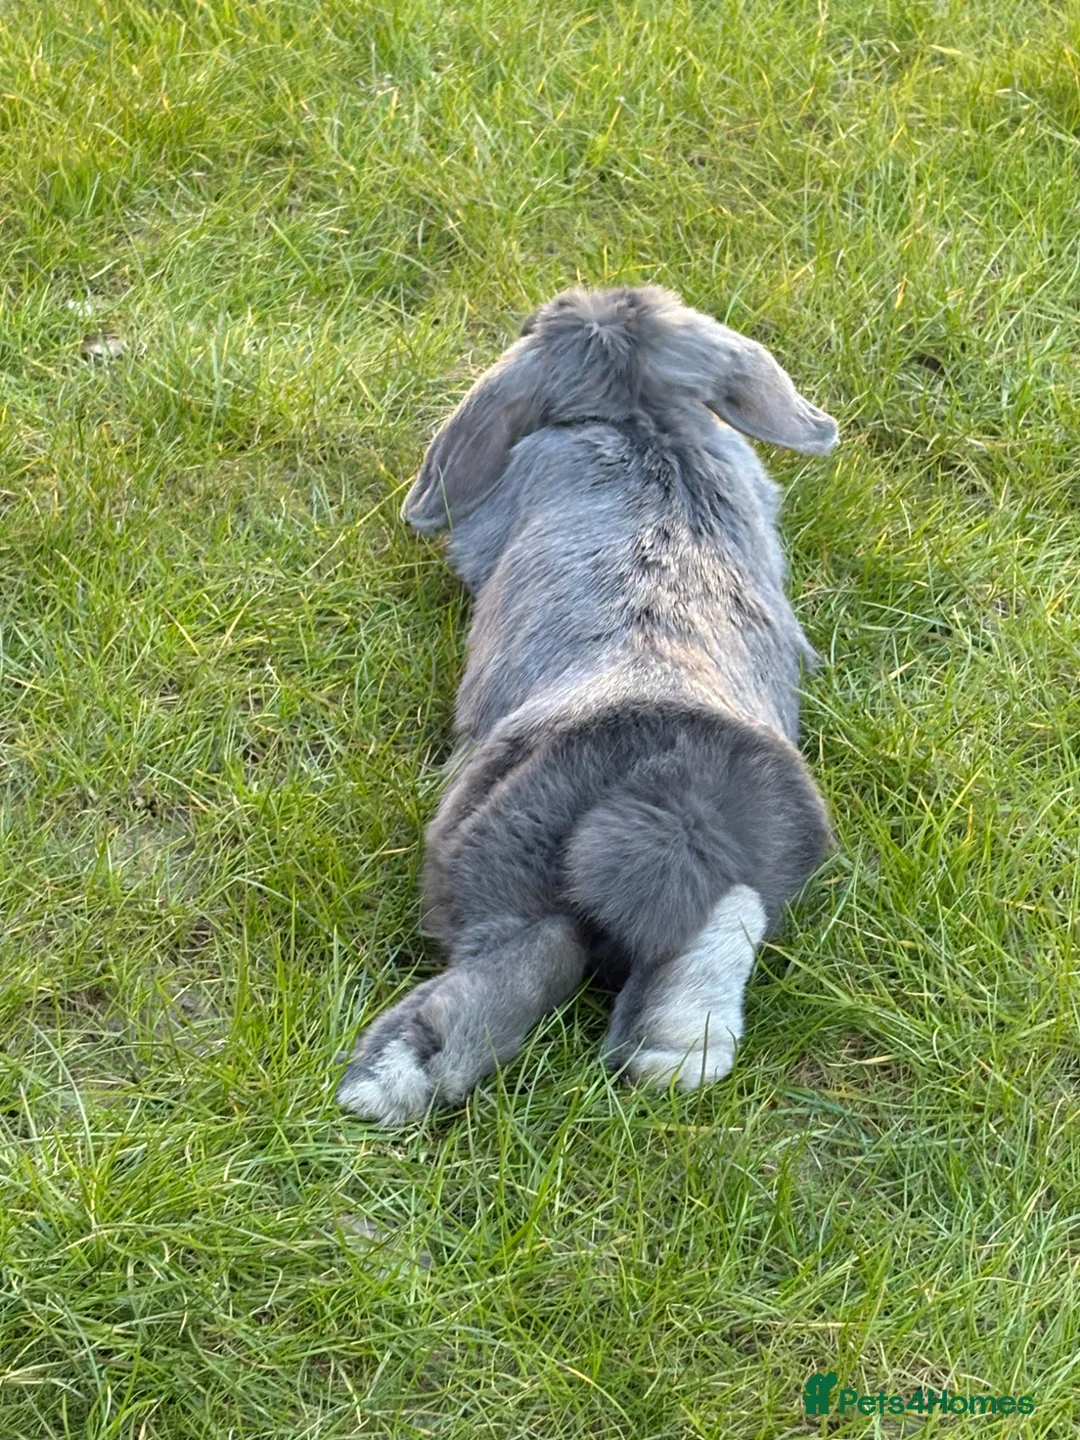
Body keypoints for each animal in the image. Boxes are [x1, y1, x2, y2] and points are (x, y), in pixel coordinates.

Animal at [337, 285, 838, 1125]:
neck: (641, 417)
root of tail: (671, 791)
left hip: (495, 850)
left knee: (523, 960)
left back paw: (388, 1078)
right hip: (749, 864)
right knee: (716, 937)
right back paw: (672, 1054)